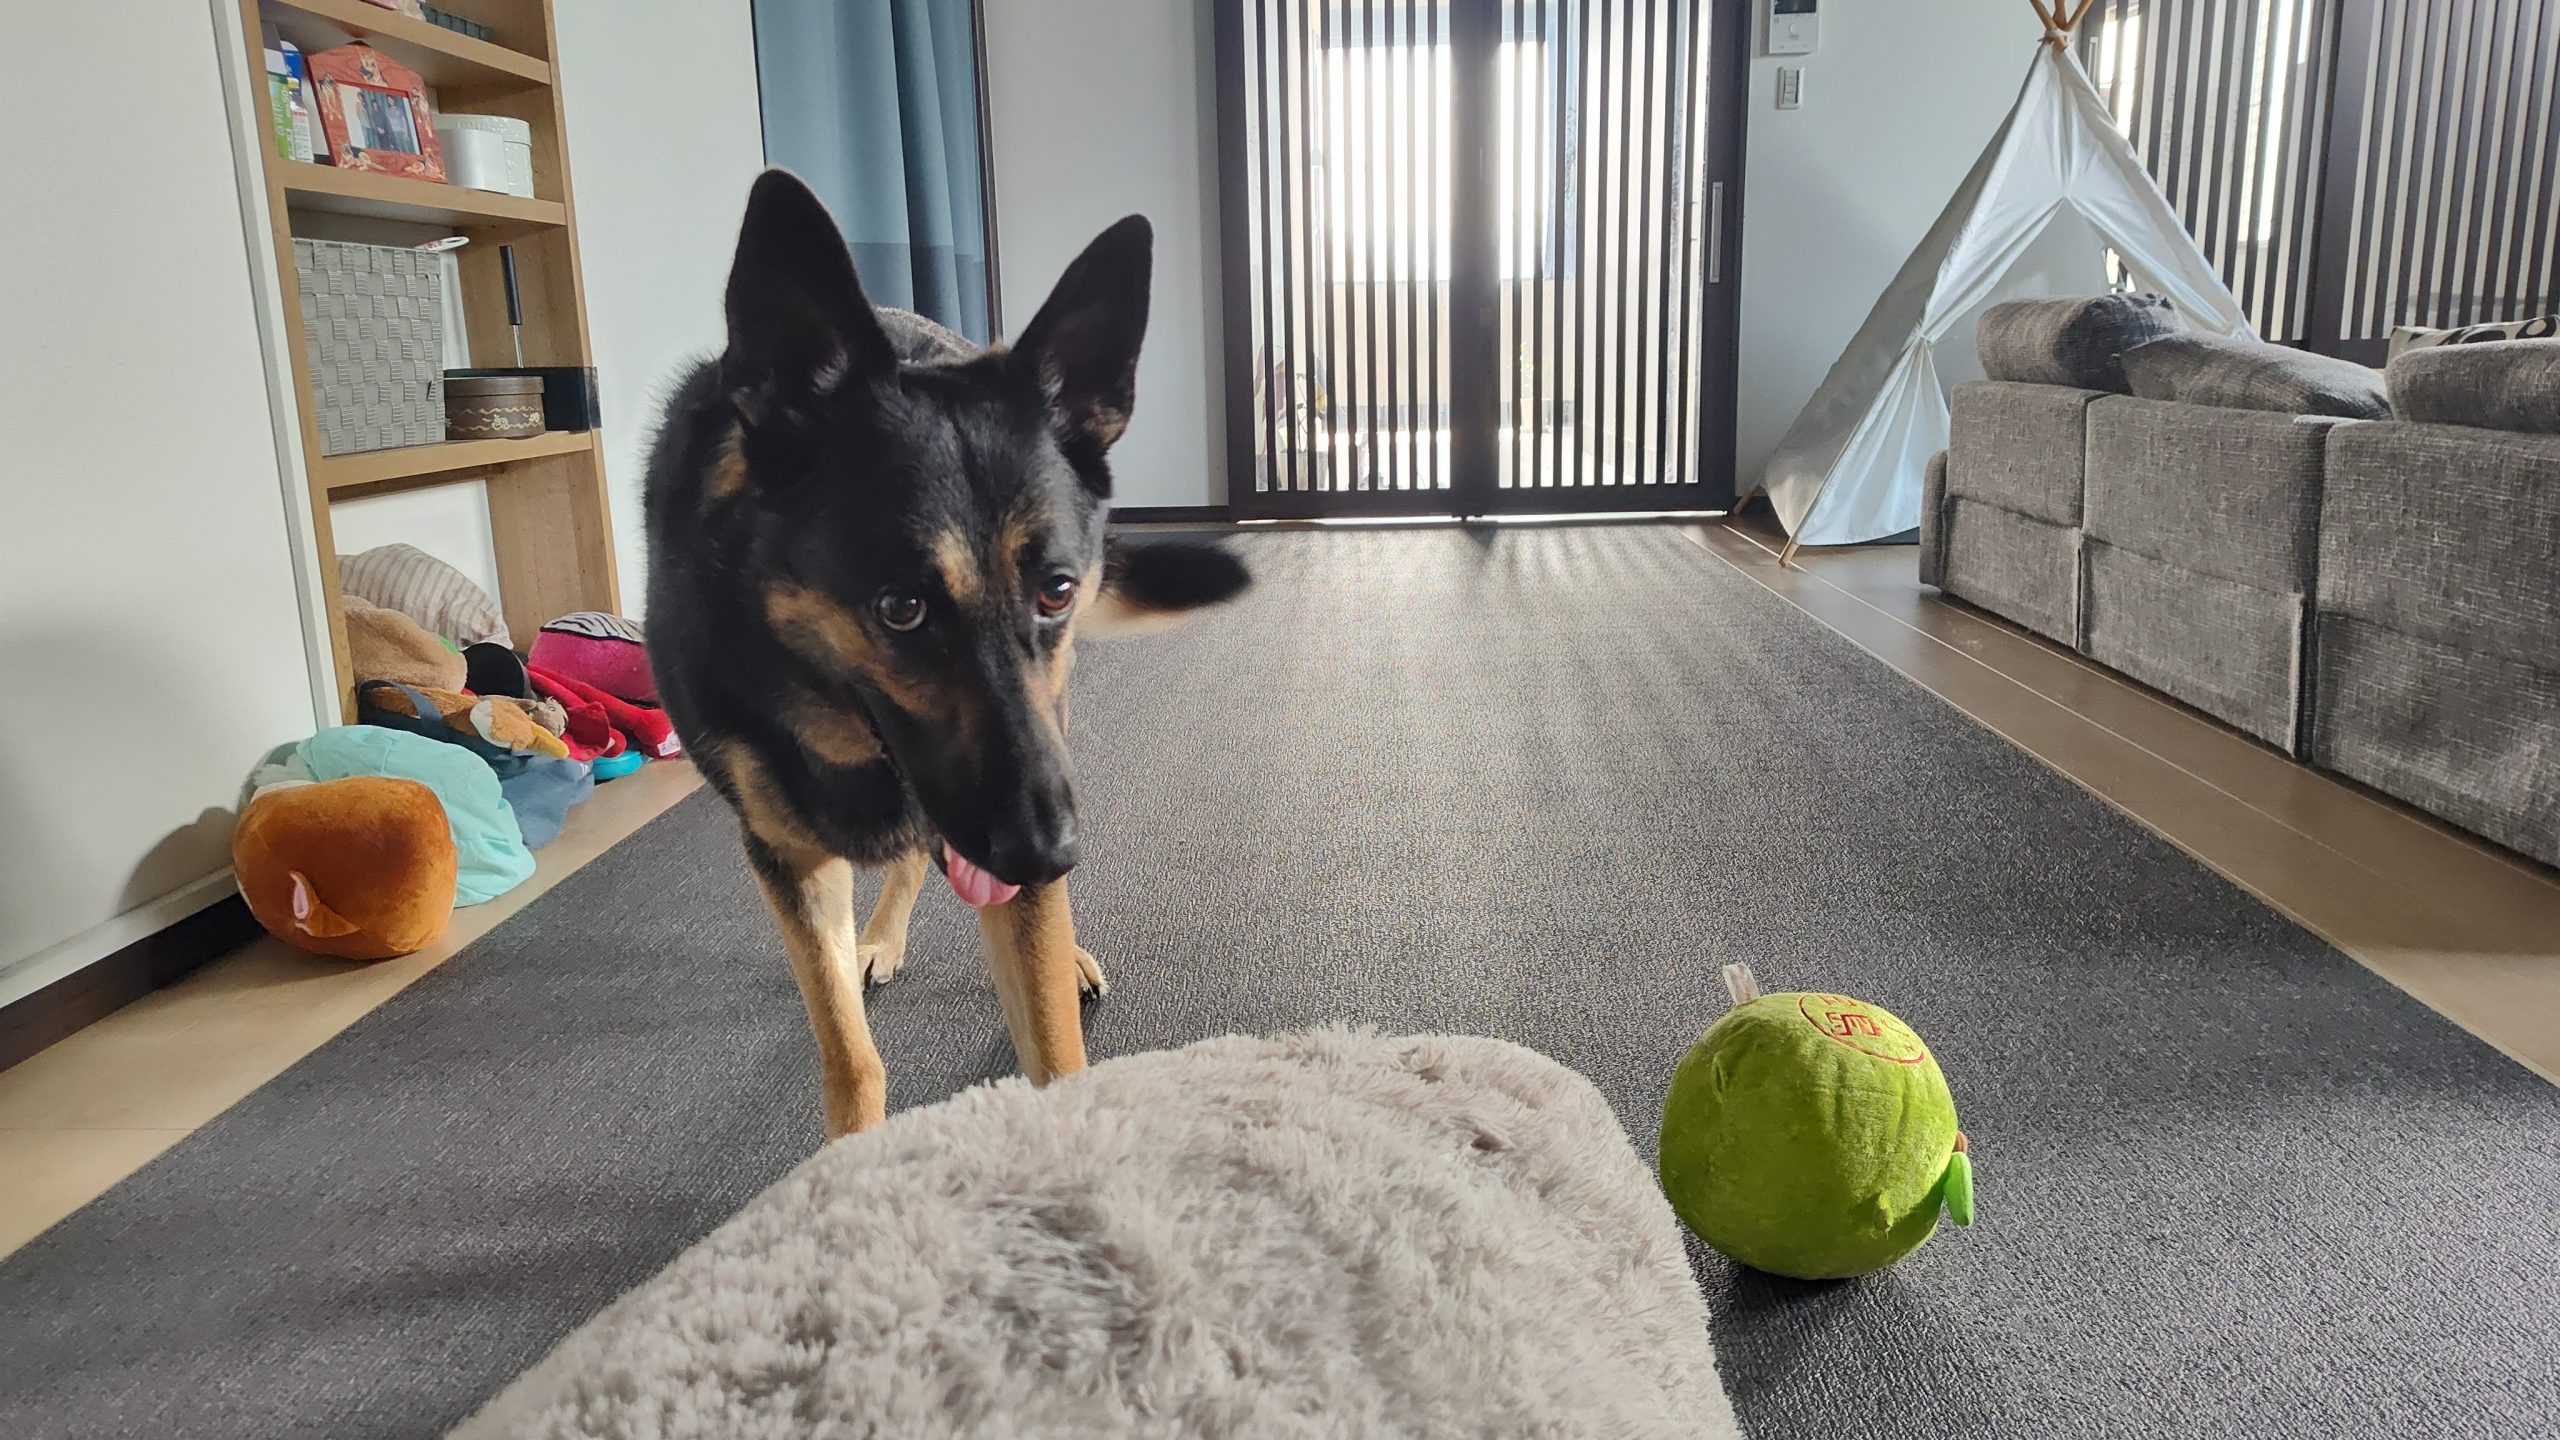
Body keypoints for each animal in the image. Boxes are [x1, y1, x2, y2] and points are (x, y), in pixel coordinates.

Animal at [643, 170, 1250, 1138]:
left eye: (1058, 590)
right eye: (902, 608)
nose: (1049, 854)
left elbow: (1053, 1052)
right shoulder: (789, 859)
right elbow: (850, 1058)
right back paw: (880, 938)